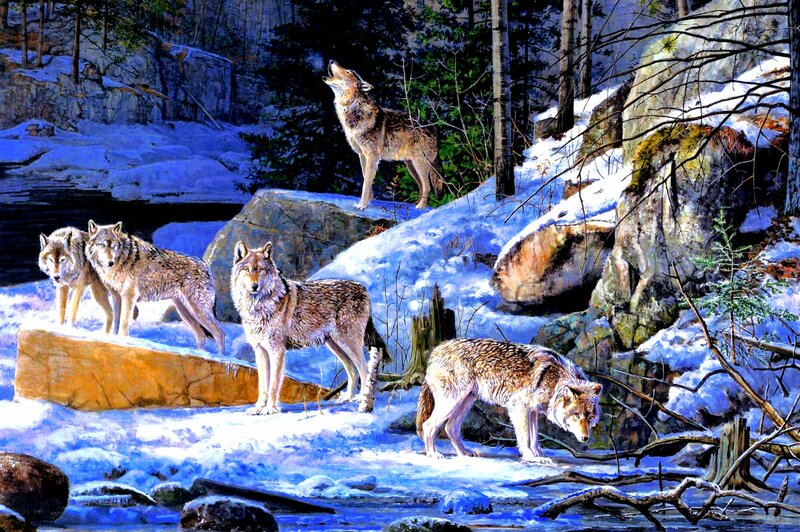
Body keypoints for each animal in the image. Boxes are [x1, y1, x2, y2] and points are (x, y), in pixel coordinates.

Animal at [85, 220, 225, 354]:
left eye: (113, 246)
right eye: (101, 245)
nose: (110, 262)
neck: (121, 259)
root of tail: (206, 267)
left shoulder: (129, 296)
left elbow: (124, 323)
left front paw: (122, 341)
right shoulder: (116, 297)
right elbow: (116, 322)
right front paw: (114, 339)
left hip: (198, 311)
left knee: (220, 334)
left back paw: (220, 357)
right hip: (185, 312)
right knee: (201, 335)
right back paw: (202, 354)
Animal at [231, 241, 390, 415]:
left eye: (261, 270)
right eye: (247, 269)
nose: (254, 286)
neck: (259, 306)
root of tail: (363, 288)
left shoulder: (277, 350)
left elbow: (273, 384)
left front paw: (270, 409)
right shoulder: (260, 350)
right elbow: (262, 385)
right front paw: (259, 408)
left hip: (348, 343)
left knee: (364, 369)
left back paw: (363, 401)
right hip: (336, 345)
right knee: (353, 370)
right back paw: (348, 397)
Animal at [323, 59, 445, 210]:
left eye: (348, 71)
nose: (331, 60)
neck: (353, 109)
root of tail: (434, 129)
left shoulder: (372, 157)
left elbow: (366, 184)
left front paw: (362, 206)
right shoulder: (362, 156)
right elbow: (366, 179)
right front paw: (369, 201)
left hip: (419, 165)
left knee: (427, 186)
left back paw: (420, 208)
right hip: (411, 166)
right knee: (421, 186)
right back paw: (415, 205)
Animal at [416, 338, 602, 463]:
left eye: (590, 417)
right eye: (577, 415)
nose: (585, 438)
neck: (555, 382)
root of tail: (437, 350)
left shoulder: (532, 411)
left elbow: (534, 437)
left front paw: (539, 455)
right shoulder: (519, 407)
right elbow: (525, 438)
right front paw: (531, 457)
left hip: (466, 401)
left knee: (451, 427)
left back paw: (464, 453)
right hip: (452, 401)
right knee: (428, 425)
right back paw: (433, 454)